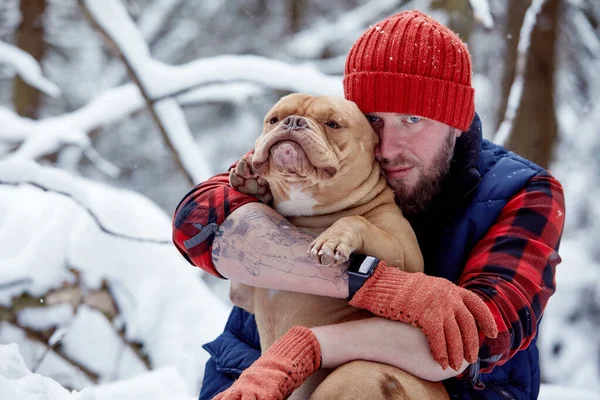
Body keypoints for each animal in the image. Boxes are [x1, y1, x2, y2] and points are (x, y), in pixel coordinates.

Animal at [230, 94, 450, 400]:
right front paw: (252, 182)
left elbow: (356, 220)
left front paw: (333, 238)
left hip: (351, 375)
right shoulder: (243, 290)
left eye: (333, 124)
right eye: (274, 119)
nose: (293, 122)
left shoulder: (407, 253)